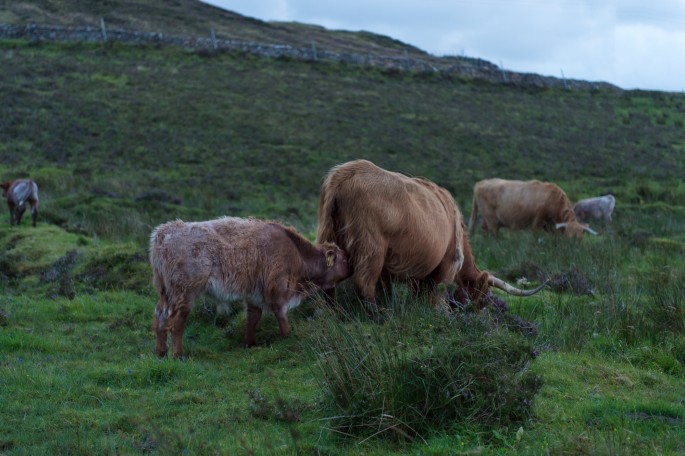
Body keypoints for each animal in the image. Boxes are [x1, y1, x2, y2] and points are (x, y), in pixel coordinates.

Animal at [150, 216, 352, 358]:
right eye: (344, 258)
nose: (353, 267)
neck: (296, 252)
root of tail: (165, 232)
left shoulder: (255, 293)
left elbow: (253, 318)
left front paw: (249, 343)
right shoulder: (278, 286)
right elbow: (281, 313)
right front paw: (288, 337)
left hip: (165, 292)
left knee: (160, 316)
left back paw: (161, 352)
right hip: (184, 292)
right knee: (176, 321)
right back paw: (178, 354)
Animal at [312, 159, 544, 316]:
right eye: (483, 299)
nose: (478, 316)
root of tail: (344, 174)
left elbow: (404, 292)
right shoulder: (447, 265)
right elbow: (437, 294)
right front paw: (443, 312)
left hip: (327, 235)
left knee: (328, 280)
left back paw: (332, 312)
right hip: (371, 246)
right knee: (363, 282)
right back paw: (379, 315)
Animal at [468, 178, 596, 239]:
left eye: (580, 239)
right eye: (570, 237)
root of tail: (480, 183)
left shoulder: (550, 226)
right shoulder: (537, 221)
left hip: (486, 218)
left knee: (484, 229)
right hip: (491, 219)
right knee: (493, 233)